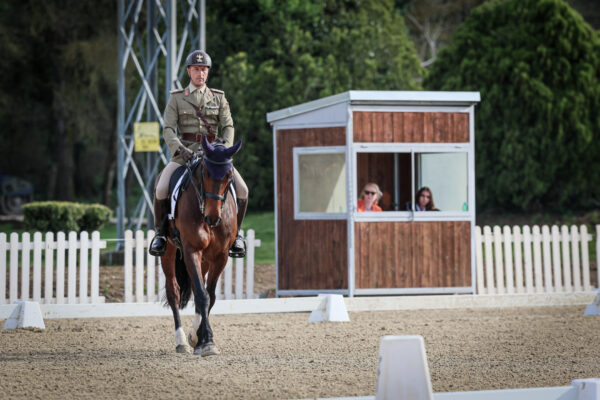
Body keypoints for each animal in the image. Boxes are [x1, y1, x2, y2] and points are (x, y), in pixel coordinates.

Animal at [161, 135, 243, 356]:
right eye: (205, 172)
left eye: (229, 175)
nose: (212, 218)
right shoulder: (192, 250)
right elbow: (201, 295)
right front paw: (206, 342)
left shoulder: (220, 256)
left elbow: (210, 295)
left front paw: (200, 337)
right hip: (169, 250)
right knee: (173, 291)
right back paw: (180, 340)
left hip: (206, 259)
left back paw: (191, 336)